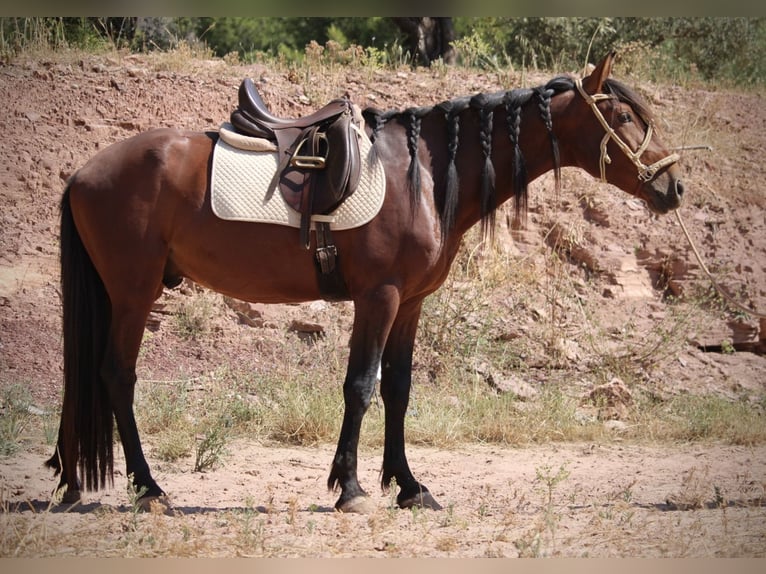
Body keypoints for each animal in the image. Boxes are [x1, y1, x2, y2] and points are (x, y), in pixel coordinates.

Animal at [46, 52, 683, 513]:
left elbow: (397, 389)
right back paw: (149, 489)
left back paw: (72, 481)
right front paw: (349, 488)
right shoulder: (378, 297)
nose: (674, 186)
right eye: (623, 117)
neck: (423, 174)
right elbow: (360, 386)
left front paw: (409, 486)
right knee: (115, 376)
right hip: (133, 295)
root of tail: (83, 173)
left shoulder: (410, 304)